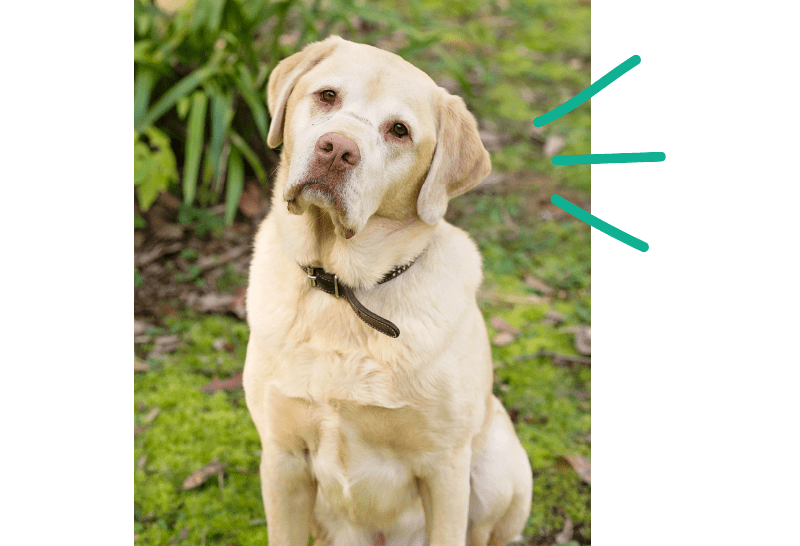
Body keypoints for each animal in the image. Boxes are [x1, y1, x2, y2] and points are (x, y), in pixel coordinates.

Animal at [241, 36, 536, 540]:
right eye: (327, 96)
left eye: (399, 130)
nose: (336, 149)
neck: (343, 289)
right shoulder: (282, 457)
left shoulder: (445, 466)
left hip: (497, 463)